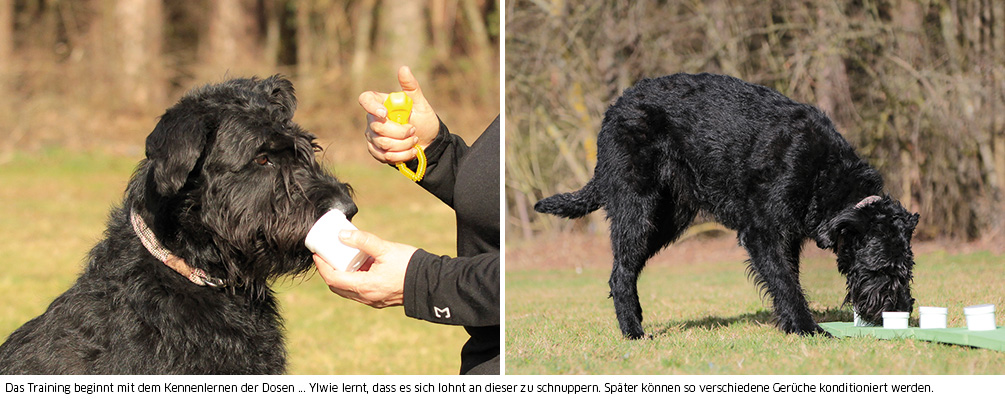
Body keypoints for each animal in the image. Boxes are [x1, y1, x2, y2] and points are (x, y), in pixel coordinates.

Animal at [542, 73, 920, 339]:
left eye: (907, 269)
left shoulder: (788, 237)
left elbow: (788, 276)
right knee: (621, 271)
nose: (900, 311)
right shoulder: (761, 232)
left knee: (625, 269)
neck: (825, 173)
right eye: (881, 267)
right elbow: (783, 280)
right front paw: (806, 328)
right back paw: (633, 332)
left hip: (667, 219)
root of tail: (613, 110)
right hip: (637, 210)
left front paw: (788, 323)